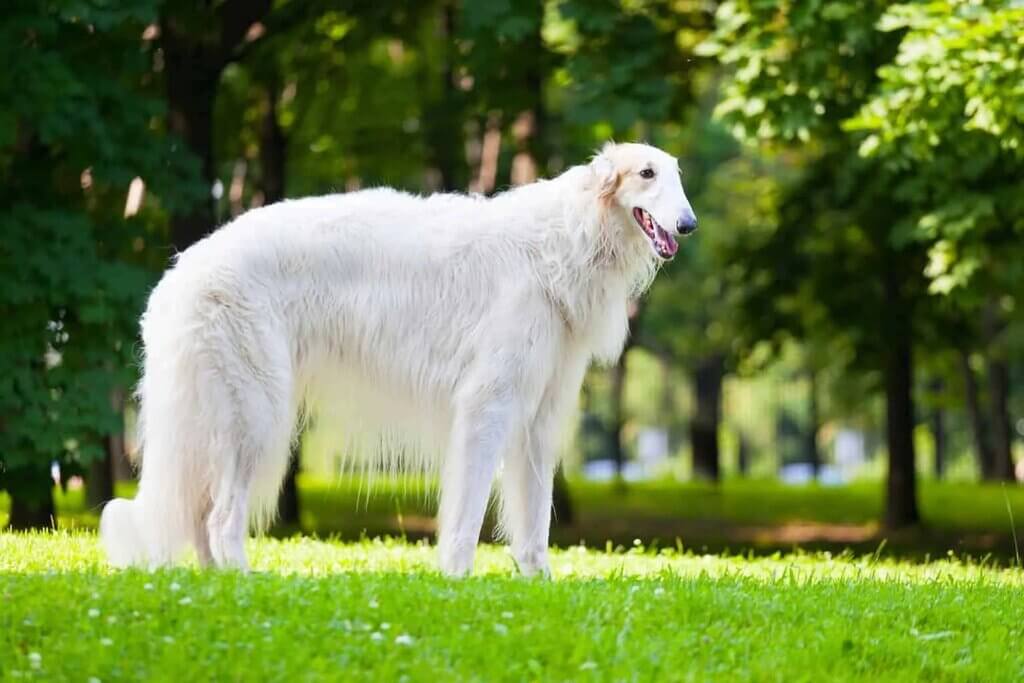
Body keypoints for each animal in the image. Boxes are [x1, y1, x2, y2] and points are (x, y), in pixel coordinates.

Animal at [99, 143, 696, 577]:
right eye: (646, 174)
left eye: (677, 175)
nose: (688, 225)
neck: (563, 241)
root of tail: (180, 275)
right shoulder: (488, 405)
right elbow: (467, 515)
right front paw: (456, 581)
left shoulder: (538, 419)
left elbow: (533, 530)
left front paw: (539, 588)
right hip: (256, 414)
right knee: (222, 518)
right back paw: (246, 583)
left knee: (200, 516)